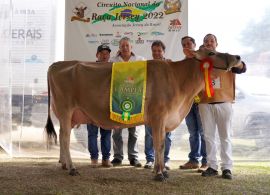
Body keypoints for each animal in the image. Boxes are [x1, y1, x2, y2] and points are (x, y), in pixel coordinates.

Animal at [44, 48, 243, 181]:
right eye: (211, 52)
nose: (238, 57)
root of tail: (58, 63)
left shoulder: (162, 120)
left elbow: (160, 145)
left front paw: (160, 171)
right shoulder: (159, 116)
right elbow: (159, 144)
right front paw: (160, 173)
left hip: (68, 115)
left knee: (62, 135)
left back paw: (64, 164)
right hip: (65, 109)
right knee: (64, 137)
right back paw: (72, 168)